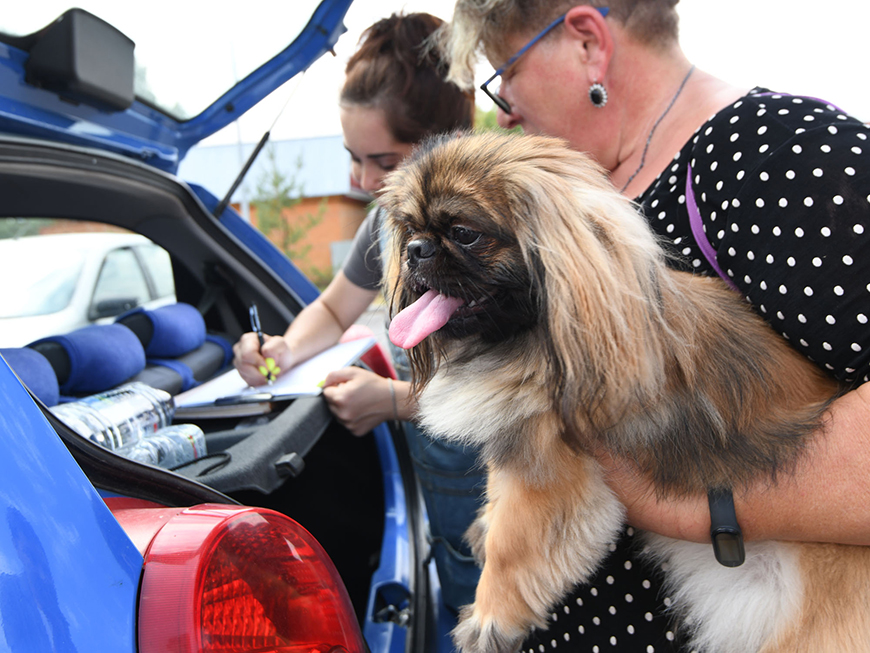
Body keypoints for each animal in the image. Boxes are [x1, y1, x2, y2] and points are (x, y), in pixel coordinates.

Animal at [382, 132, 870, 652]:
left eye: (464, 232)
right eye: (409, 229)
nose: (416, 250)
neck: (531, 338)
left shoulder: (546, 469)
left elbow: (510, 548)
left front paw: (489, 618)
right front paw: (484, 525)